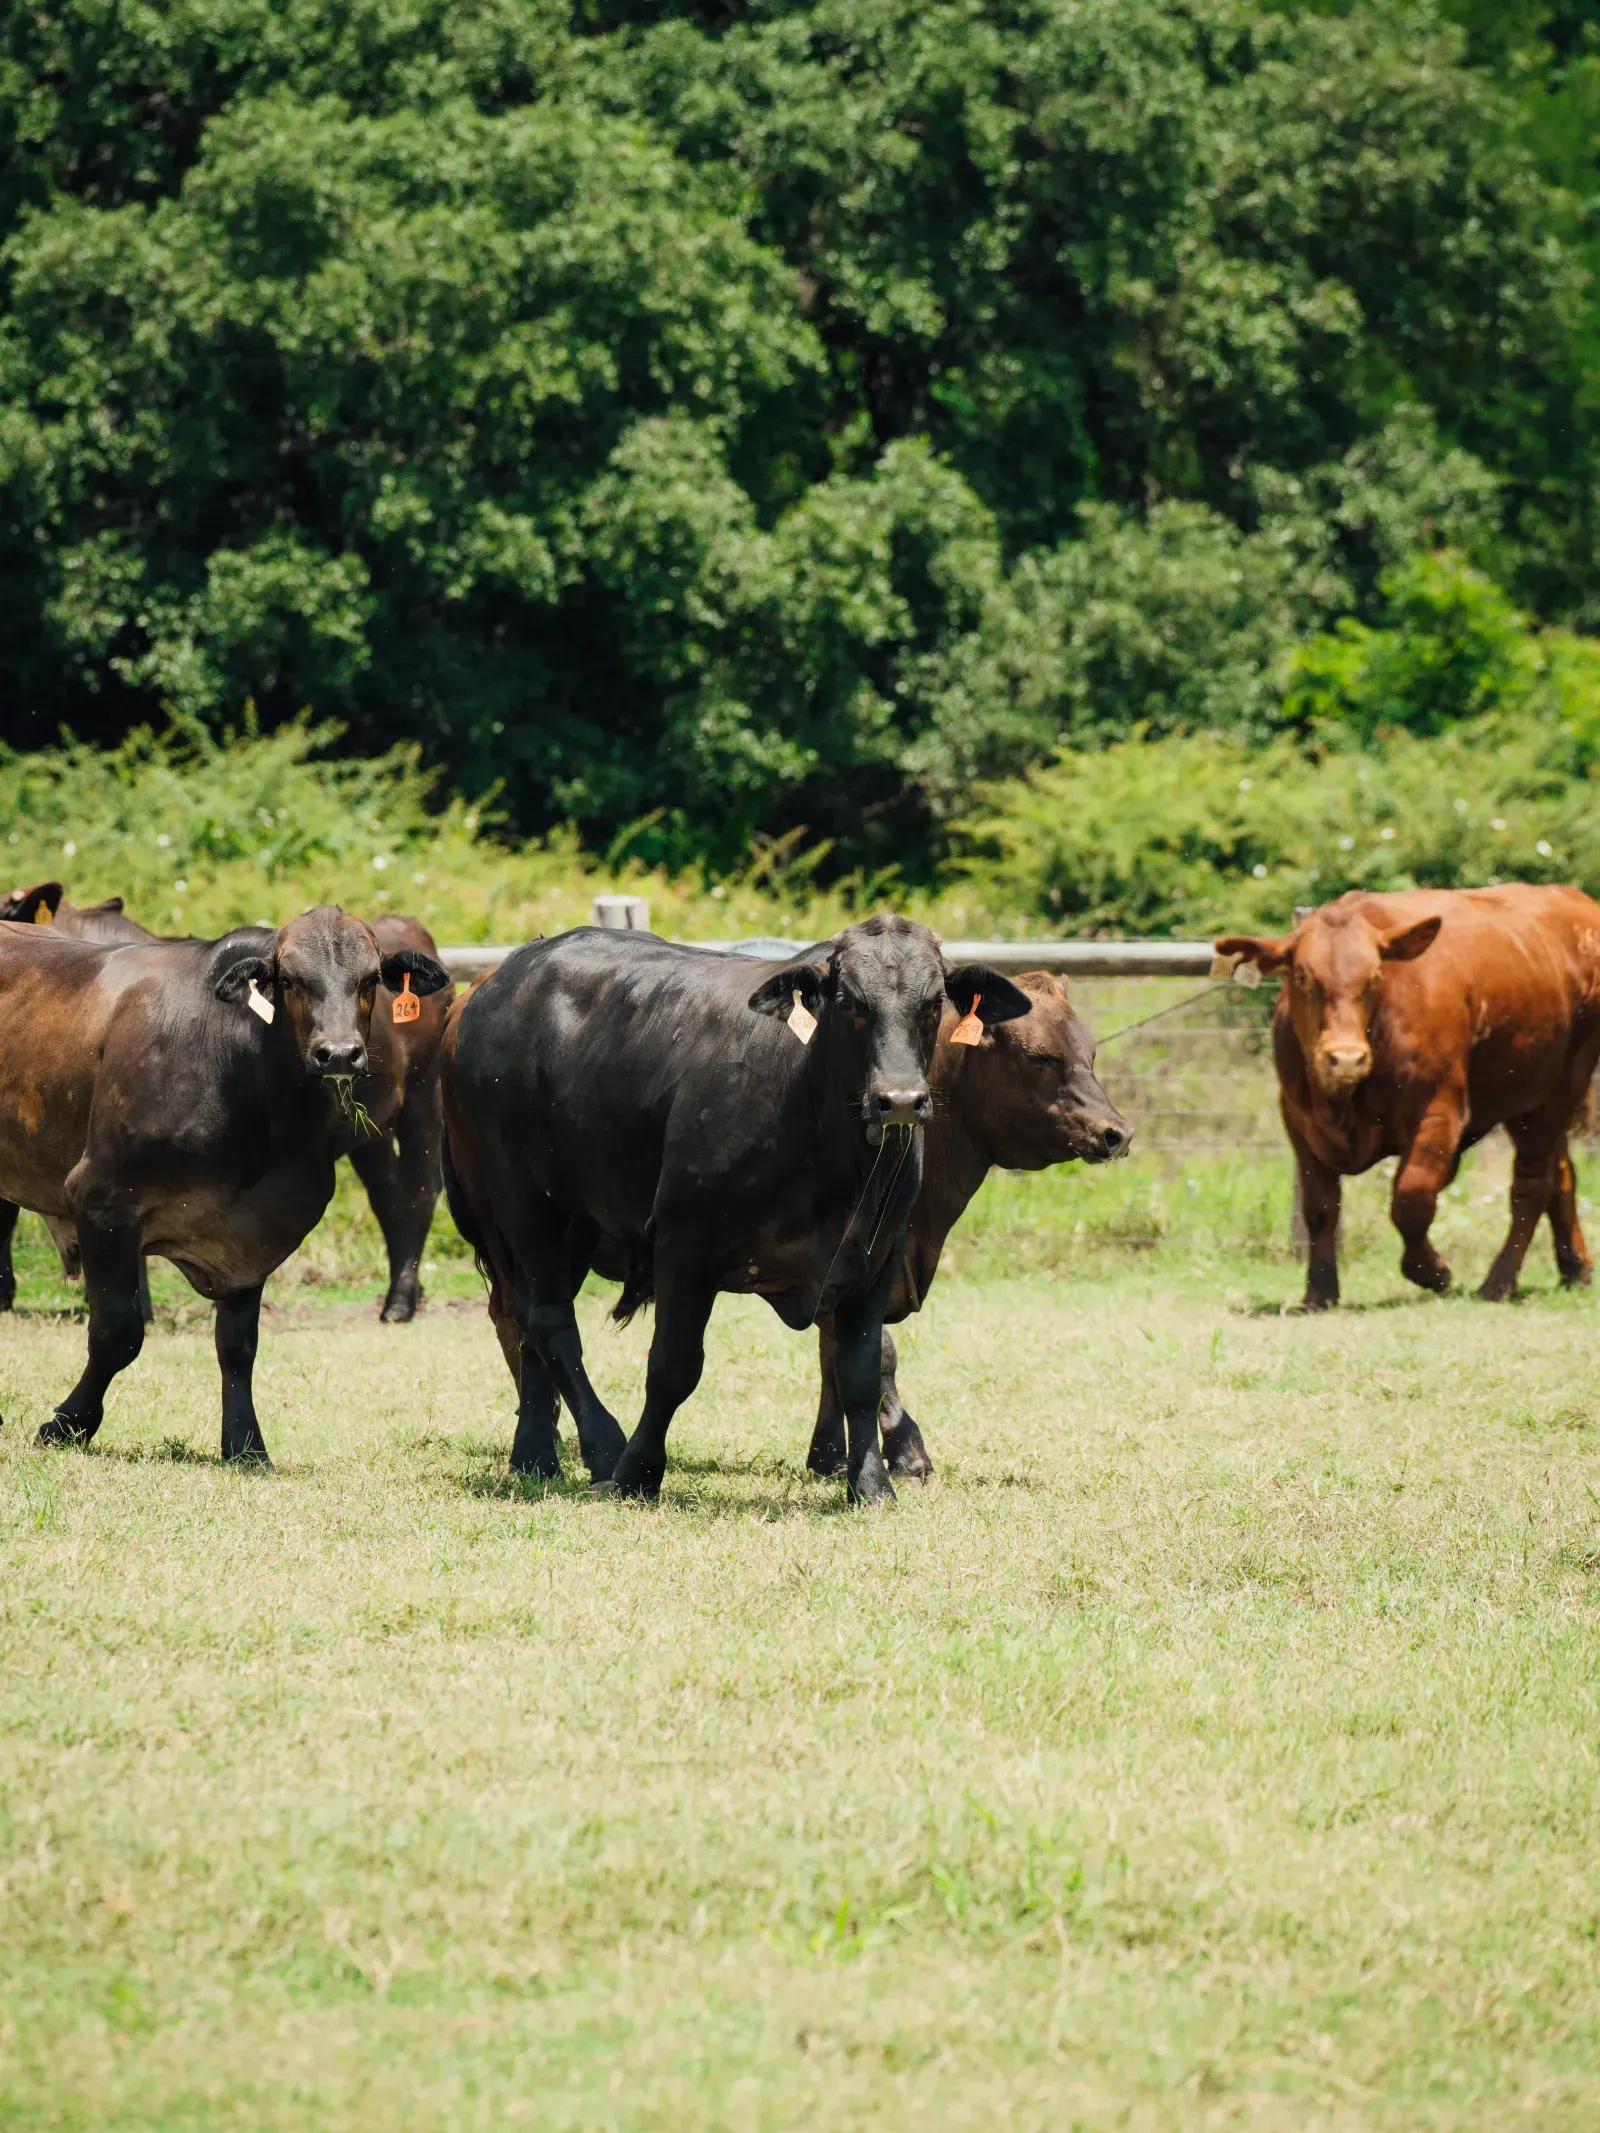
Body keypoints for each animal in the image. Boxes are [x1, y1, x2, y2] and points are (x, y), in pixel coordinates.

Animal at [0, 907, 450, 1461]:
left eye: (370, 980)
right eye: (289, 980)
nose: (340, 1054)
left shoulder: (256, 1229)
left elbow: (238, 1346)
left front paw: (245, 1443)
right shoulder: (100, 1199)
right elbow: (117, 1332)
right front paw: (67, 1424)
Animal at [442, 918, 1032, 1504]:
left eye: (933, 1002)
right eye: (848, 1000)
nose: (901, 1100)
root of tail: (501, 979)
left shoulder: (877, 1255)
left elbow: (861, 1372)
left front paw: (870, 1484)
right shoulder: (684, 1246)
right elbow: (673, 1367)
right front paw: (638, 1472)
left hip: (575, 1222)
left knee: (530, 1325)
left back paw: (535, 1456)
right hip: (523, 1205)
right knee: (549, 1320)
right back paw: (602, 1448)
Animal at [806, 971, 1130, 1479]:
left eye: (1090, 1054)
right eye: (1039, 1056)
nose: (1116, 1133)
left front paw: (829, 1454)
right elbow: (877, 1352)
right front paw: (906, 1450)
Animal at [1215, 884, 1600, 1309]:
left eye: (1375, 976)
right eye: (1302, 976)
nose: (1346, 1058)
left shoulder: (1438, 1111)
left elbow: (1411, 1200)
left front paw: (1434, 1272)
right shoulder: (1299, 1120)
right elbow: (1319, 1207)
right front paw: (1319, 1290)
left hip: (1560, 1089)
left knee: (1531, 1187)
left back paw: (1498, 1282)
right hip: (1529, 1098)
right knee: (1561, 1175)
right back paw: (1575, 1270)